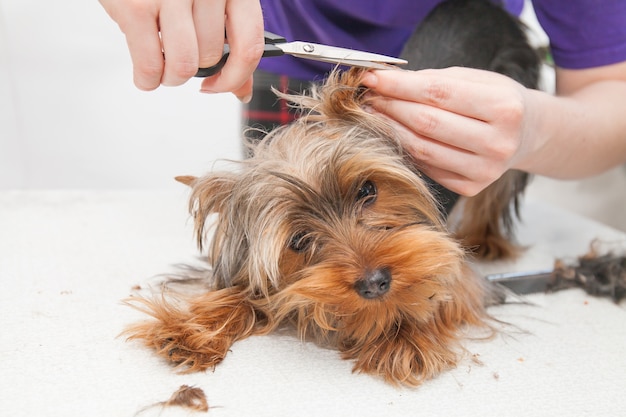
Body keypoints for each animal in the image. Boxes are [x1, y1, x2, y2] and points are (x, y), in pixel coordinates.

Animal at [125, 0, 536, 384]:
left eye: (368, 190)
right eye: (299, 241)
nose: (375, 283)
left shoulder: (452, 264)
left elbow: (443, 286)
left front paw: (401, 334)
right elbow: (244, 291)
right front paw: (191, 330)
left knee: (497, 187)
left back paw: (487, 238)